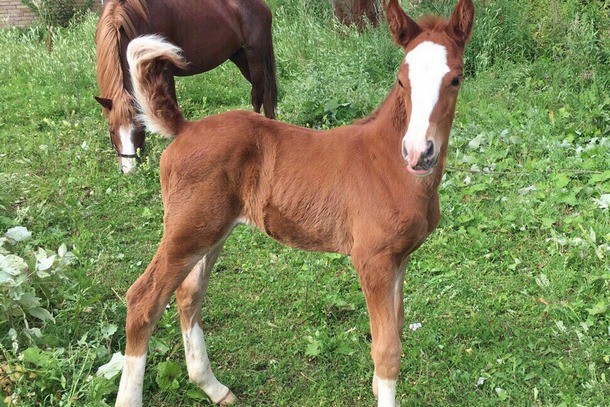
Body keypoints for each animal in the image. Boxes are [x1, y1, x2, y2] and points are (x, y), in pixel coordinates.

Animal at [94, 0, 276, 174]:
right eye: (111, 130)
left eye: (139, 129)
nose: (128, 170)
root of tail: (262, 5)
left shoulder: (164, 68)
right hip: (240, 57)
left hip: (254, 57)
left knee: (257, 94)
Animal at [115, 0, 476, 404]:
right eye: (401, 79)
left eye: (456, 79)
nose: (418, 153)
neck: (392, 166)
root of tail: (186, 128)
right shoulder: (373, 258)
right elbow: (386, 349)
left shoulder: (400, 257)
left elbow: (395, 329)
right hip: (188, 229)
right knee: (143, 300)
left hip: (210, 231)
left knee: (188, 294)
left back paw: (213, 386)